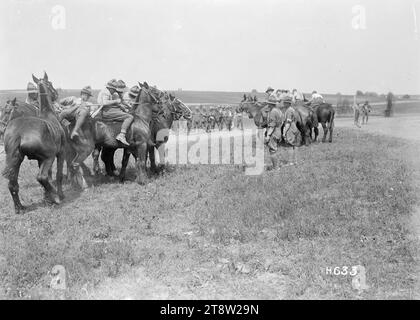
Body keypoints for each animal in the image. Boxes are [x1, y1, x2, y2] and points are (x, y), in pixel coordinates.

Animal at [1, 71, 65, 214]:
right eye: (50, 83)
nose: (56, 94)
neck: (48, 113)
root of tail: (18, 133)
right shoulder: (59, 154)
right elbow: (57, 175)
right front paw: (58, 194)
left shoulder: (40, 159)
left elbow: (50, 176)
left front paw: (46, 197)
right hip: (49, 157)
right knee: (41, 177)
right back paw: (55, 197)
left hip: (16, 159)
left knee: (13, 184)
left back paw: (19, 207)